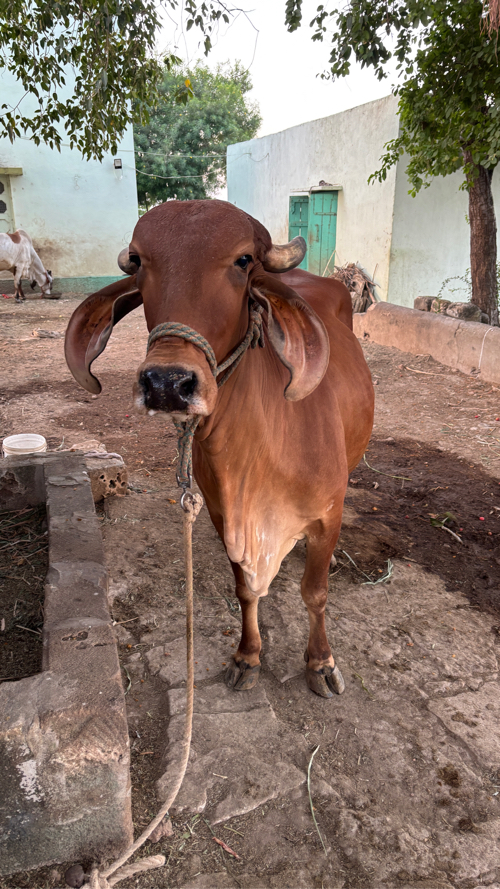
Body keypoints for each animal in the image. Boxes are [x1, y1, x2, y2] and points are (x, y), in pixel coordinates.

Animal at [64, 201, 374, 700]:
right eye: (139, 261)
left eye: (243, 260)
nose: (166, 382)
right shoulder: (221, 515)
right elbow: (245, 591)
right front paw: (248, 656)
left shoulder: (329, 514)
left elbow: (316, 593)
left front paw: (321, 662)